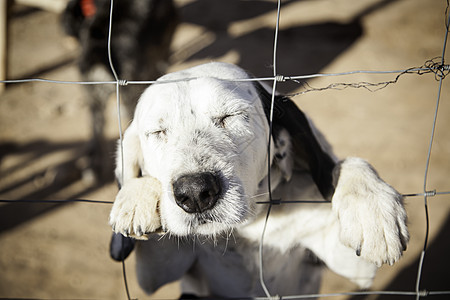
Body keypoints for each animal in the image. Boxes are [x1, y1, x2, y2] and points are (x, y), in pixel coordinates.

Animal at [108, 62, 408, 298]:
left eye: (230, 116)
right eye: (158, 132)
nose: (194, 193)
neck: (248, 227)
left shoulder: (356, 268)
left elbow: (346, 164)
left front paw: (370, 205)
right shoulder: (155, 273)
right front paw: (136, 195)